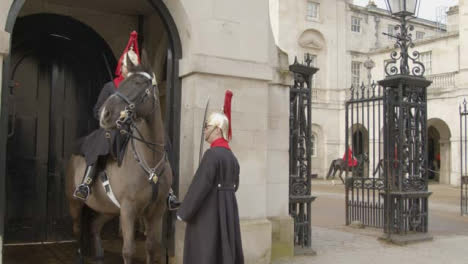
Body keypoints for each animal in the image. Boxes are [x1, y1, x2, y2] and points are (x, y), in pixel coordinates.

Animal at [64, 50, 170, 262]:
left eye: (138, 83)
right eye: (121, 85)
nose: (105, 114)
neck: (150, 159)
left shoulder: (156, 209)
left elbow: (152, 246)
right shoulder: (129, 209)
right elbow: (128, 250)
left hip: (109, 208)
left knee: (94, 225)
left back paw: (98, 255)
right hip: (75, 204)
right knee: (77, 230)